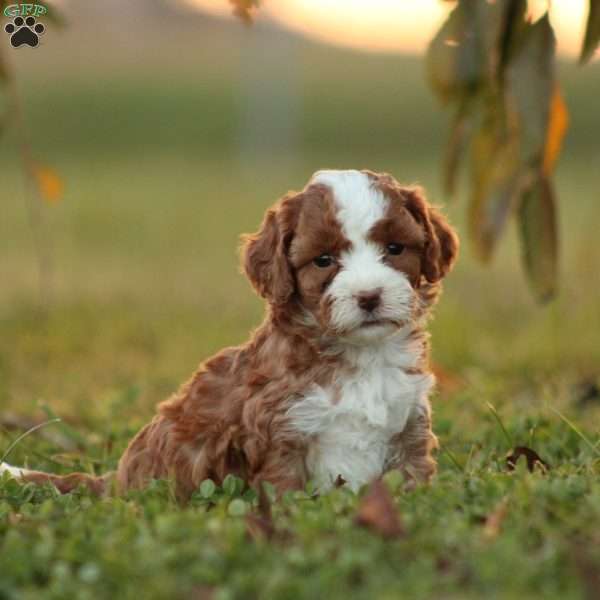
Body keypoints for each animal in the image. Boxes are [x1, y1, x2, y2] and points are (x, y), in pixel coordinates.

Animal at [1, 169, 460, 496]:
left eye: (395, 249)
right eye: (324, 260)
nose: (368, 296)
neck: (361, 355)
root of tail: (113, 484)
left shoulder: (407, 428)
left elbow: (411, 480)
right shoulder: (281, 436)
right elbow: (286, 493)